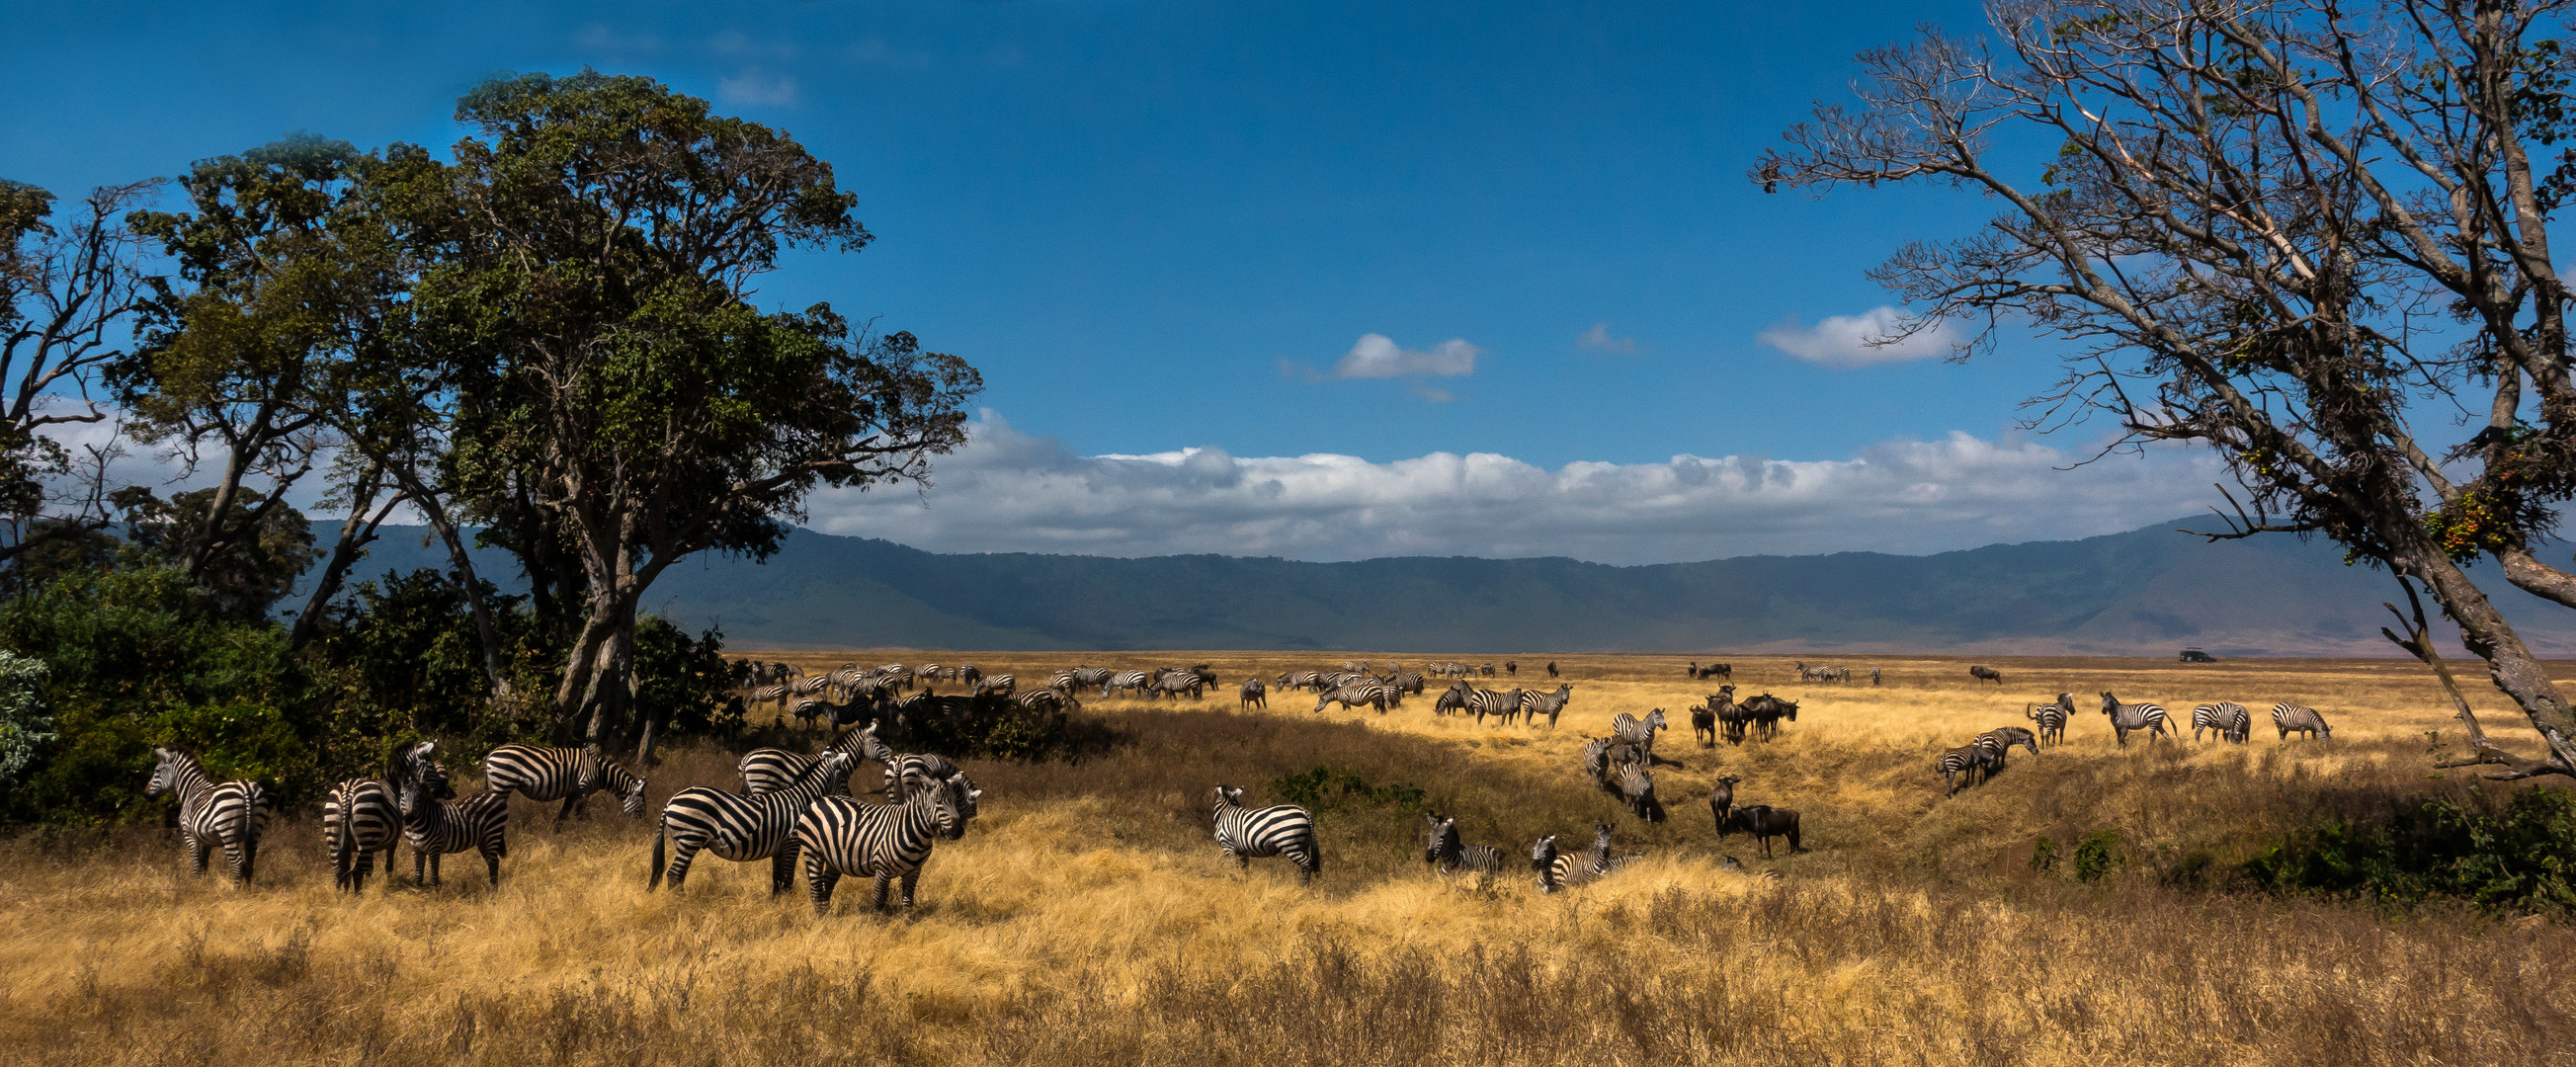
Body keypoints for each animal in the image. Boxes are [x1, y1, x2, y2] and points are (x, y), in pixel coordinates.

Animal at [146, 747, 269, 886]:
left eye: (157, 771)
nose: (146, 794)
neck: (191, 790)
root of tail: (246, 787)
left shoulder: (189, 834)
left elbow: (196, 863)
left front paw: (194, 885)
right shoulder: (206, 840)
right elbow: (204, 865)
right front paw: (202, 884)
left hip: (227, 831)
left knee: (238, 864)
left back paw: (236, 890)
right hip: (255, 828)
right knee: (250, 862)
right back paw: (247, 890)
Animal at [393, 742, 510, 881]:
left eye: (419, 797)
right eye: (402, 795)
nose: (409, 817)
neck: (416, 826)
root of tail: (494, 794)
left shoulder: (434, 848)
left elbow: (433, 877)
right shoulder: (416, 850)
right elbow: (418, 877)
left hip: (493, 831)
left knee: (493, 862)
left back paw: (493, 886)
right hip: (483, 838)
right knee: (491, 861)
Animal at [484, 742, 648, 824]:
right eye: (642, 805)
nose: (643, 826)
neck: (599, 772)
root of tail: (491, 753)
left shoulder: (573, 792)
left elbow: (563, 814)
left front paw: (560, 836)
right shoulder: (584, 788)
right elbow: (579, 814)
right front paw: (582, 835)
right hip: (503, 783)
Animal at [648, 747, 860, 896]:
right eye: (843, 776)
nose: (850, 796)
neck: (802, 799)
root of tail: (671, 800)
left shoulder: (779, 848)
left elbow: (777, 878)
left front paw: (777, 902)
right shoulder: (792, 842)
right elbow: (788, 877)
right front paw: (788, 901)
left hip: (683, 841)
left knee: (677, 875)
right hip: (689, 839)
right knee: (674, 874)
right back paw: (680, 902)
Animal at [788, 768, 978, 917]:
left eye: (955, 801)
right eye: (938, 802)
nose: (958, 831)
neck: (914, 831)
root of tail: (820, 799)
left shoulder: (914, 871)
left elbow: (908, 903)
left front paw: (906, 926)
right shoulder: (882, 868)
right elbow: (879, 901)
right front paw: (877, 927)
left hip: (834, 859)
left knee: (826, 887)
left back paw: (828, 916)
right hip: (812, 851)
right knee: (816, 889)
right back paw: (821, 920)